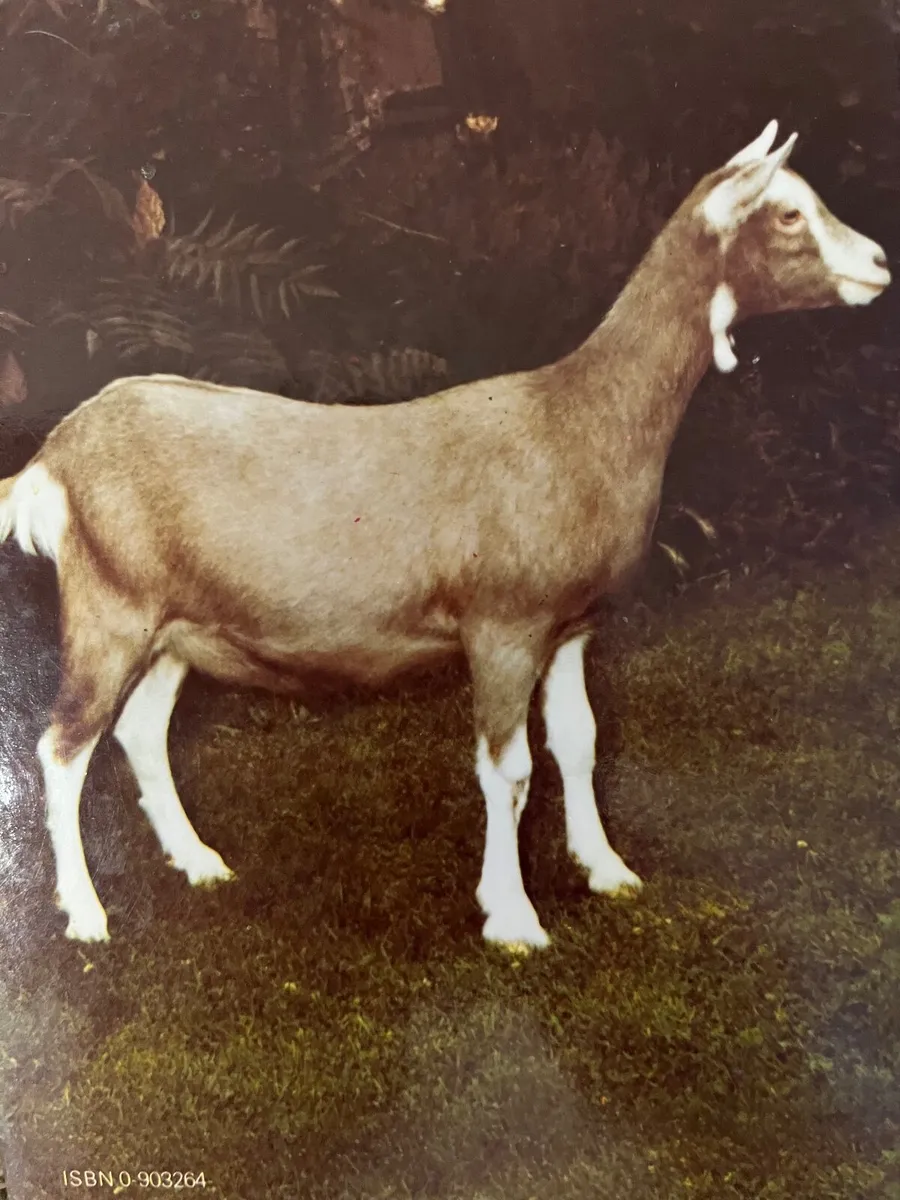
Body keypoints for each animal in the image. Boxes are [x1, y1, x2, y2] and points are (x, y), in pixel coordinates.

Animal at [0, 121, 889, 947]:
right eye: (787, 213)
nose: (881, 263)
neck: (580, 418)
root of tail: (55, 457)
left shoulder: (572, 625)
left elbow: (580, 743)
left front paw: (606, 869)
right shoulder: (502, 626)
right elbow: (510, 770)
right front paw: (514, 918)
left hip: (177, 626)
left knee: (140, 732)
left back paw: (199, 863)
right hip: (110, 607)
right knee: (62, 746)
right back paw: (86, 914)